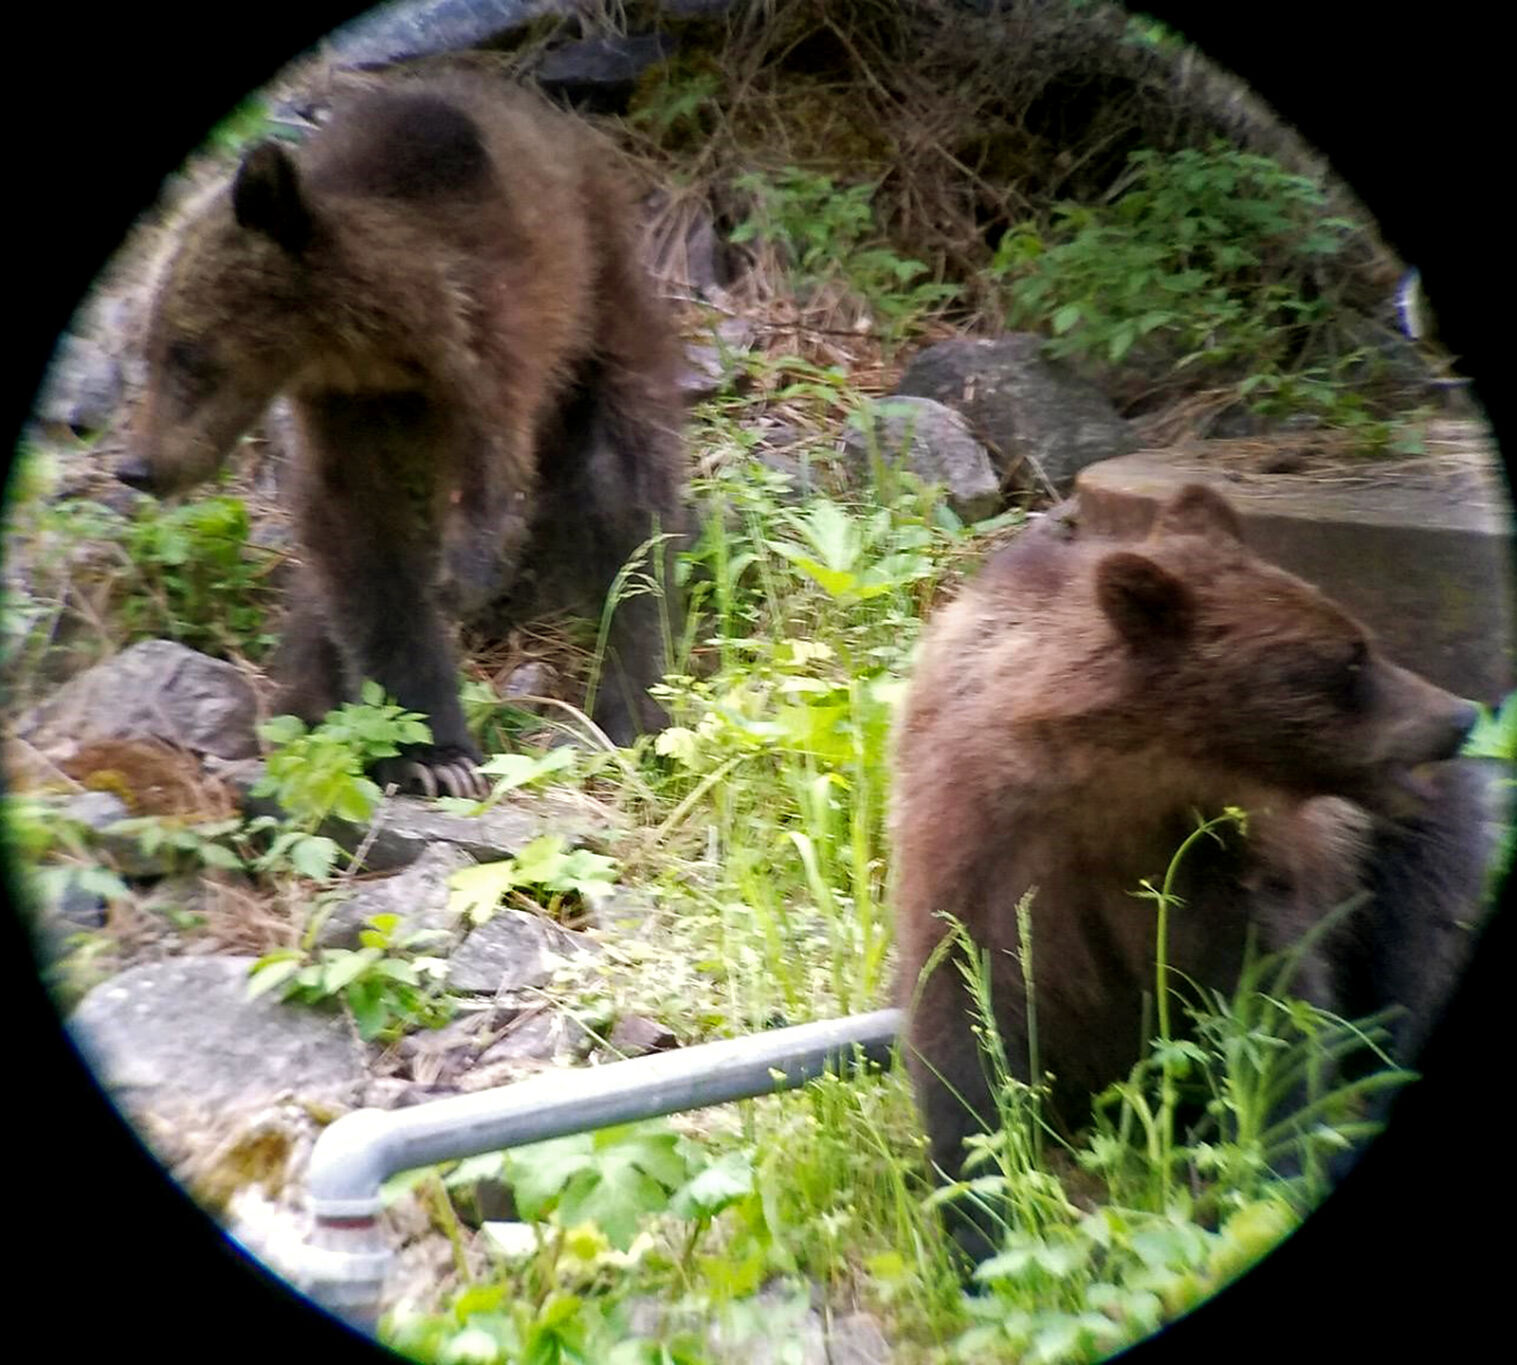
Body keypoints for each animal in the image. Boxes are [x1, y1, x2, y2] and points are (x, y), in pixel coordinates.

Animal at [118, 74, 688, 794]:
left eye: (186, 353)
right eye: (149, 348)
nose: (137, 466)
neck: (377, 344)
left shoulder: (496, 352)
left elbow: (503, 497)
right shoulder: (352, 410)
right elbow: (362, 552)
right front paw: (430, 753)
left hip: (602, 307)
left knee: (627, 503)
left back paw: (631, 702)